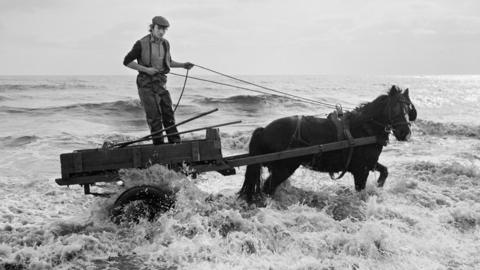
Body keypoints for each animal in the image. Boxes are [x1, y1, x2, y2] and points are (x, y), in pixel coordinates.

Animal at [240, 85, 416, 201]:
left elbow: (384, 171)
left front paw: (379, 186)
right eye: (394, 108)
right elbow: (361, 191)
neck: (364, 128)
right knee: (268, 188)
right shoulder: (362, 170)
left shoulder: (368, 164)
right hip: (285, 167)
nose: (405, 133)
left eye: (409, 109)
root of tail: (264, 130)